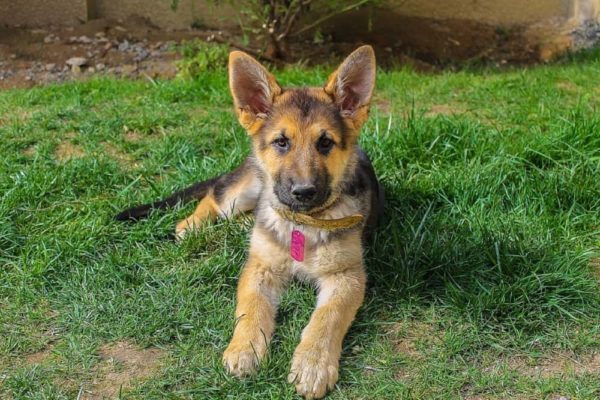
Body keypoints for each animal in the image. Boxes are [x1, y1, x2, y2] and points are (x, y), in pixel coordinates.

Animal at [117, 45, 384, 398]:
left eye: (325, 142)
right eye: (281, 142)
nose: (303, 192)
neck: (300, 223)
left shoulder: (347, 276)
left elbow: (327, 318)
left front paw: (313, 364)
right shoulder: (259, 268)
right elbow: (252, 308)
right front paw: (244, 348)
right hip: (244, 190)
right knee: (214, 196)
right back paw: (191, 225)